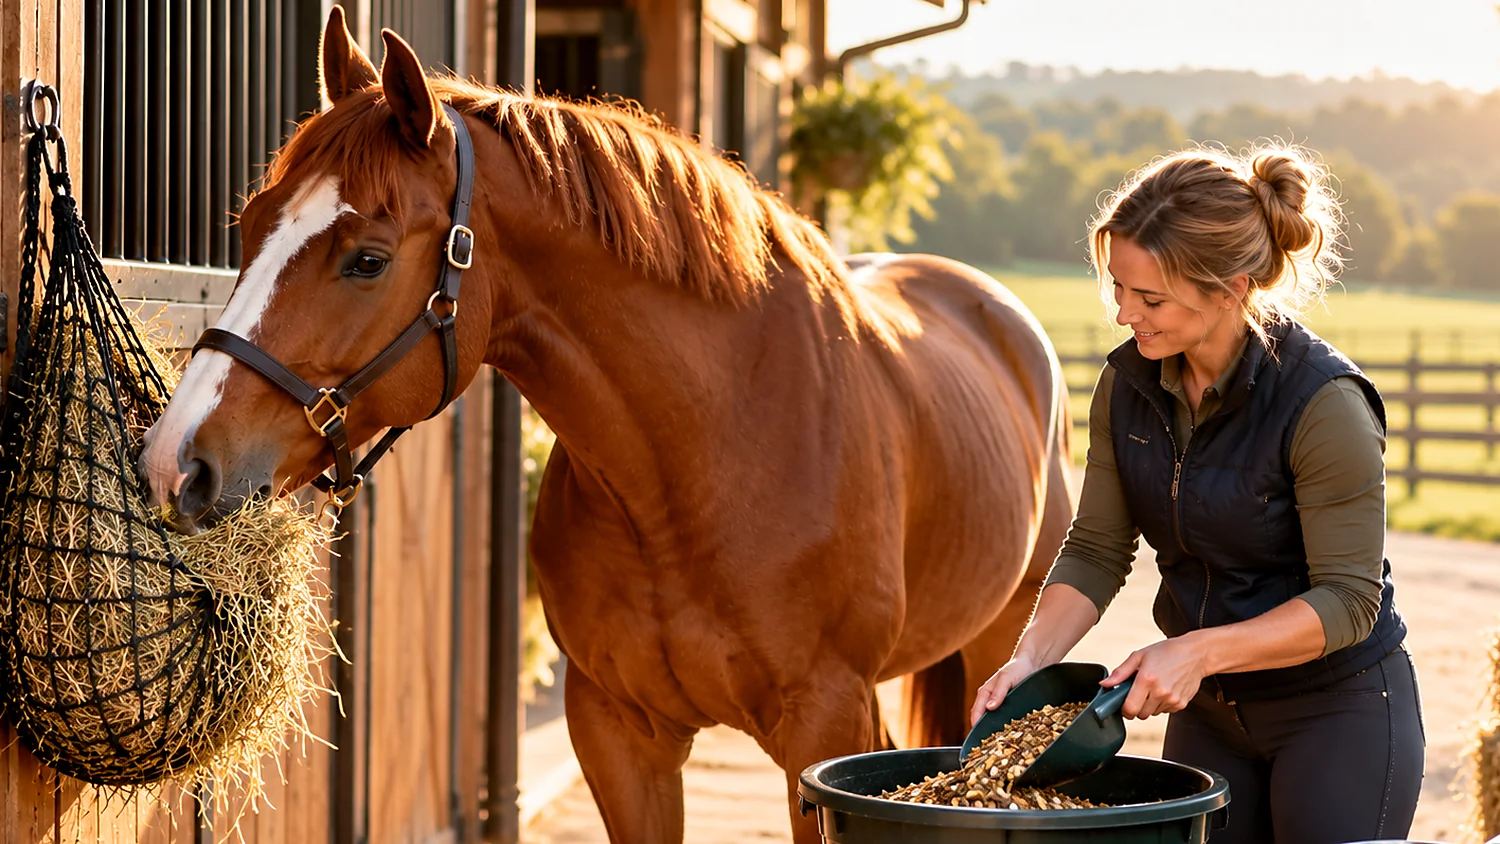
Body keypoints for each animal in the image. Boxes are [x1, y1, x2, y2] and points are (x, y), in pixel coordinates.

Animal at [139, 9, 1074, 842]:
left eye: (366, 260)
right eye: (251, 226)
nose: (175, 463)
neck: (702, 461)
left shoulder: (820, 727)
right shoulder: (618, 734)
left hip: (1000, 642)